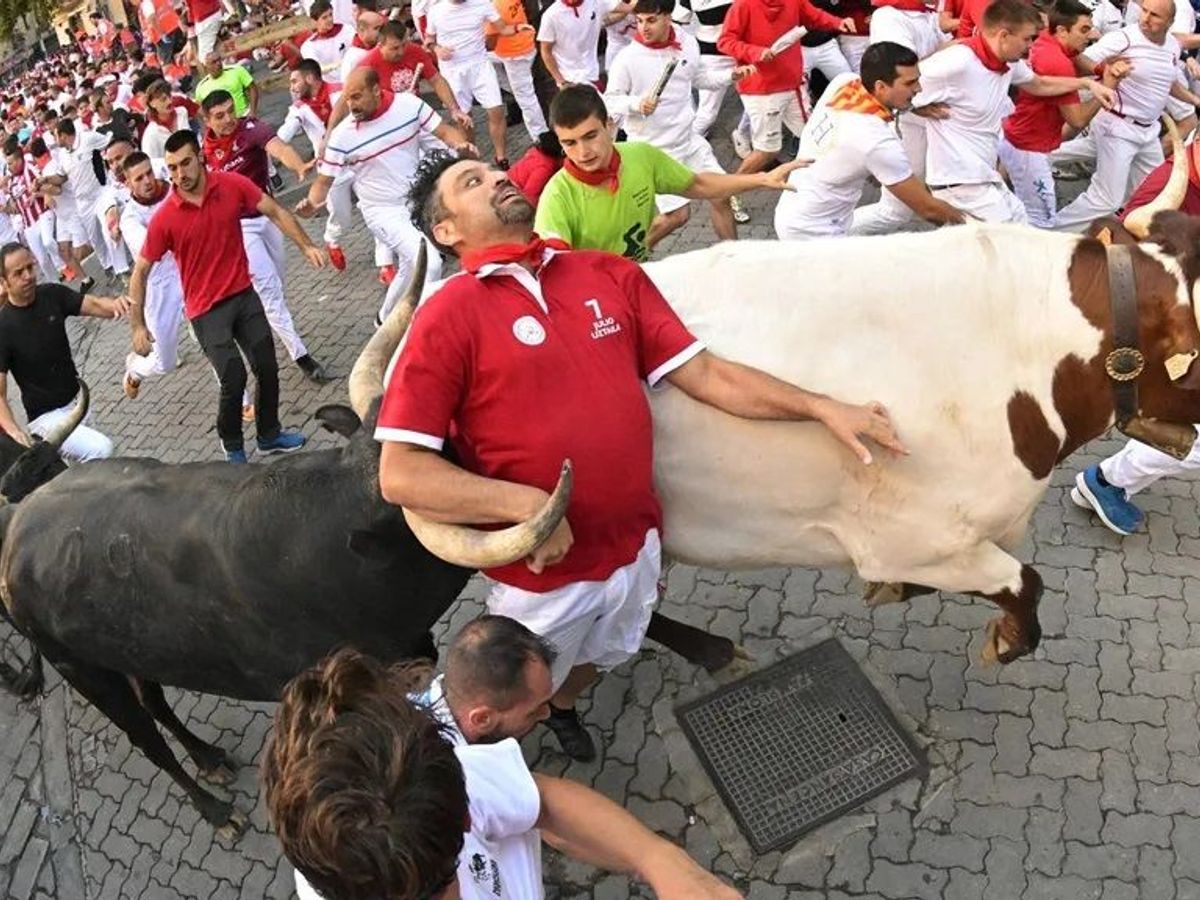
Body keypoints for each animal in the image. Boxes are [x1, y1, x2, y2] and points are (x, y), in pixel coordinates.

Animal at [0, 400, 729, 840]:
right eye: (456, 467)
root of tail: (18, 527)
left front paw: (712, 648)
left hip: (132, 650)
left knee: (156, 703)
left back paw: (208, 758)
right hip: (80, 666)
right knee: (142, 735)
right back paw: (215, 809)